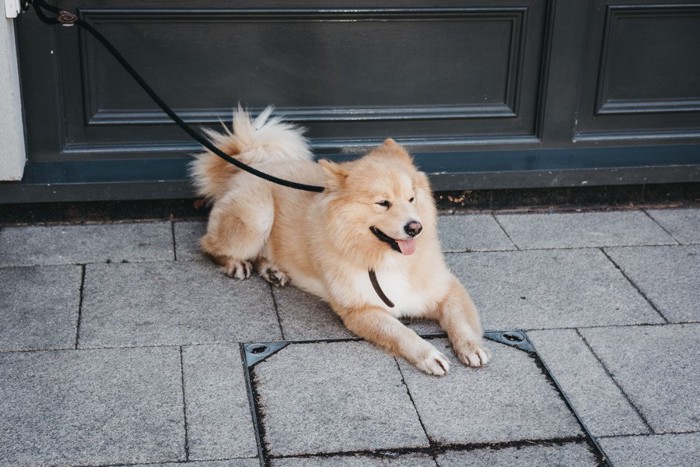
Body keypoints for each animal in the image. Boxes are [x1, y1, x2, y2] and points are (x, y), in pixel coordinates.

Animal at [189, 107, 490, 376]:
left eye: (411, 199)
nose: (415, 228)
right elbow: (402, 333)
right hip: (257, 217)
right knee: (209, 245)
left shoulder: (447, 288)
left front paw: (471, 346)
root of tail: (250, 167)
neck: (386, 259)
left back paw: (273, 269)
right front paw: (428, 355)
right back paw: (235, 264)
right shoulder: (361, 311)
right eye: (383, 203)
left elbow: (459, 320)